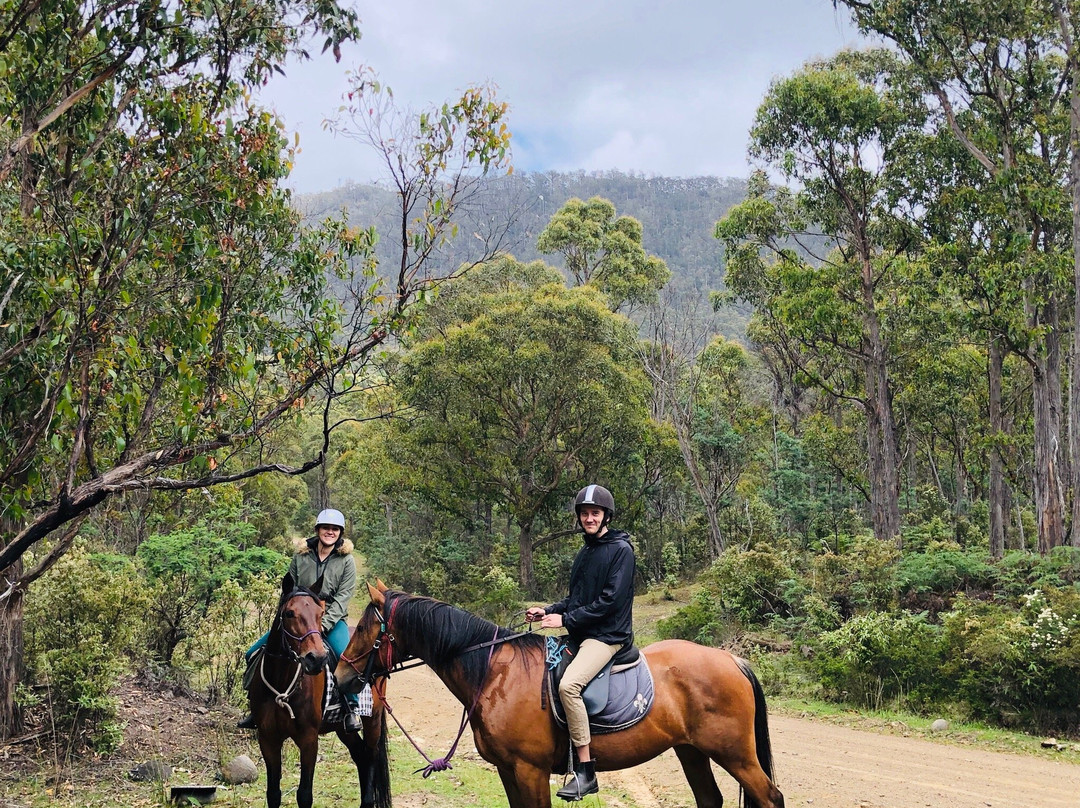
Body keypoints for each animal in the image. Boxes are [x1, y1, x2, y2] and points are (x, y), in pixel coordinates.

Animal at [247, 574, 390, 808]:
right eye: (289, 613)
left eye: (320, 614)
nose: (316, 659)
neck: (282, 683)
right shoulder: (268, 739)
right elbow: (273, 794)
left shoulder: (308, 740)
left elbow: (305, 795)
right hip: (342, 728)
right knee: (360, 756)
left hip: (373, 719)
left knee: (370, 757)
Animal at [332, 583, 781, 808]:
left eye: (364, 629)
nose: (339, 675)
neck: (494, 674)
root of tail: (731, 660)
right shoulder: (508, 771)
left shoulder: (530, 771)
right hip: (692, 750)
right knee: (710, 799)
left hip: (735, 754)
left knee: (770, 797)